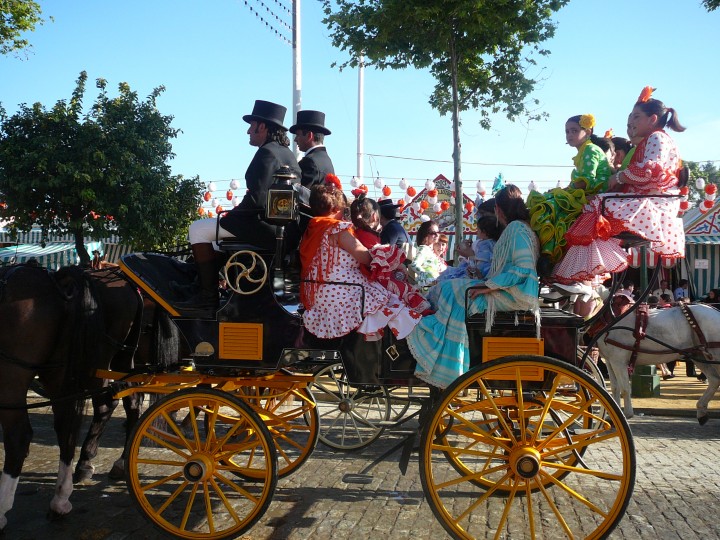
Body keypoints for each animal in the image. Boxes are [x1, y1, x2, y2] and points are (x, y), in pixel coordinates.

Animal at [592, 302, 720, 424]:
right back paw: (701, 411)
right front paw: (613, 415)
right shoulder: (610, 361)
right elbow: (615, 388)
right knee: (714, 380)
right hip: (698, 355)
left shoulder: (619, 360)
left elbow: (624, 389)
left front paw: (626, 415)